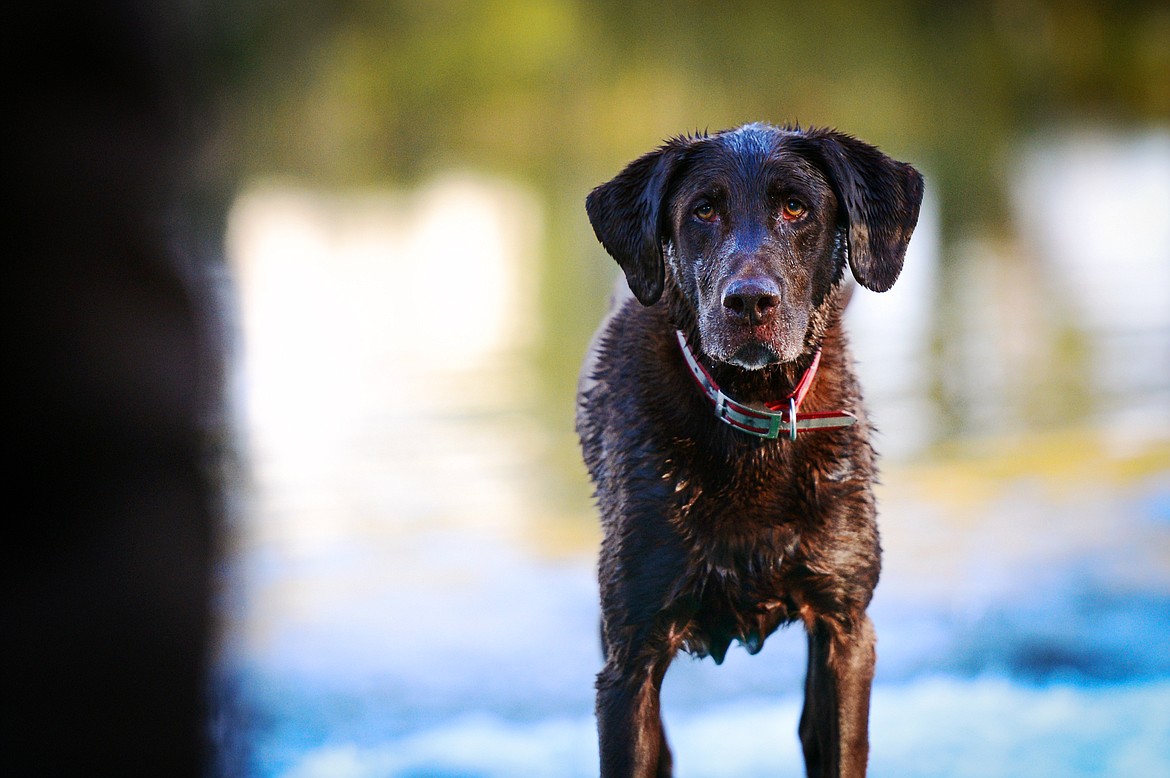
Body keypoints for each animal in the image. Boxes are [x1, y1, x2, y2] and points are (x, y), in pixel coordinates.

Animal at [575, 122, 921, 776]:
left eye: (796, 207)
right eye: (703, 210)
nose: (749, 301)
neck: (751, 409)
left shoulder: (845, 629)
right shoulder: (629, 662)